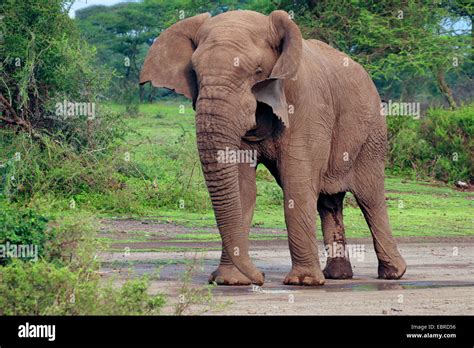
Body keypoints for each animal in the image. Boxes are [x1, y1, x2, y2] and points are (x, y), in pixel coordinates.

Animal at [139, 8, 406, 286]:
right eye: (194, 73)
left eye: (258, 71)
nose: (262, 277)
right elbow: (243, 188)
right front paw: (230, 281)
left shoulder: (306, 104)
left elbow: (297, 185)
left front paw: (302, 282)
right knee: (329, 202)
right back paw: (338, 275)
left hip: (372, 134)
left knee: (370, 198)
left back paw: (393, 274)